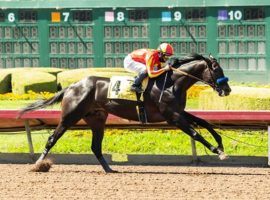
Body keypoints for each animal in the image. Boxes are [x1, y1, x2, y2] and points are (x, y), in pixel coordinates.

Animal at [19, 54, 231, 173]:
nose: (227, 89)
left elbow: (205, 122)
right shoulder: (173, 116)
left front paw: (221, 144)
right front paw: (218, 152)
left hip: (97, 119)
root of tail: (72, 86)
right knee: (51, 139)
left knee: (96, 146)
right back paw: (38, 164)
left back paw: (109, 169)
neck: (172, 83)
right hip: (69, 117)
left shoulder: (178, 112)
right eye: (216, 69)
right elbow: (195, 133)